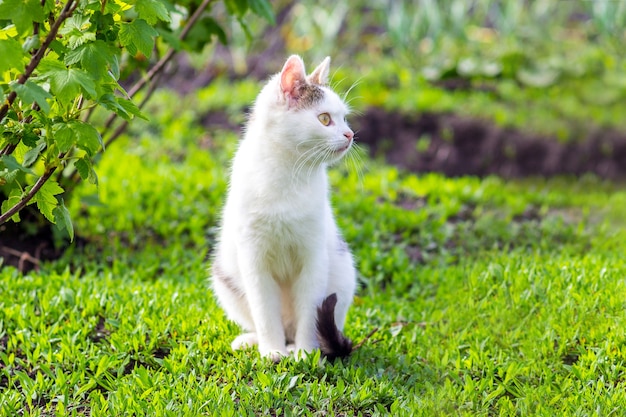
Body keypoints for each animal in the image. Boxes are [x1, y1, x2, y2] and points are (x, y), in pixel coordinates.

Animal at [211, 54, 354, 360]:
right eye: (325, 119)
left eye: (344, 117)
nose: (350, 134)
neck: (289, 174)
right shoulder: (253, 257)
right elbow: (265, 311)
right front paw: (271, 351)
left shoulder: (314, 256)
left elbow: (310, 311)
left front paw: (306, 353)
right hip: (224, 277)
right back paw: (255, 341)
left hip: (344, 274)